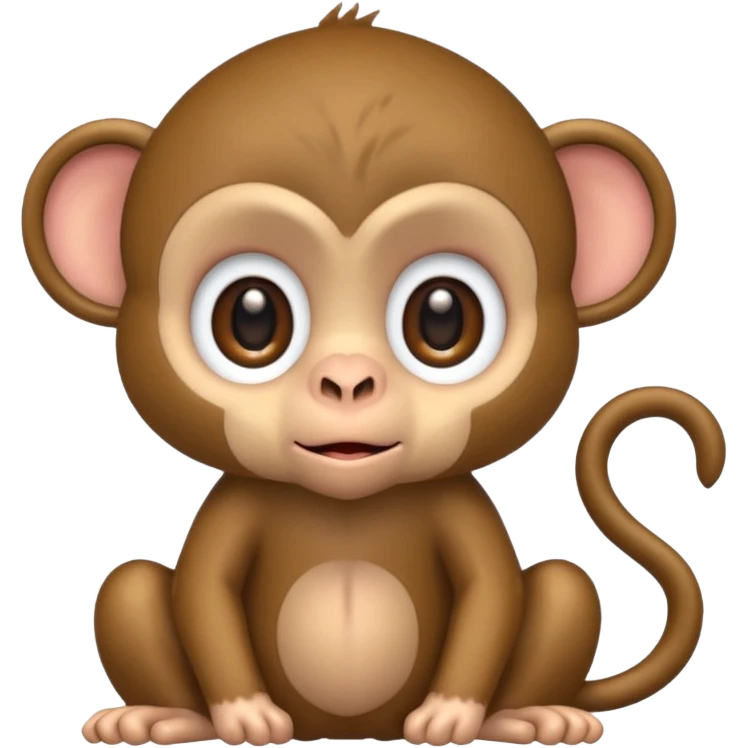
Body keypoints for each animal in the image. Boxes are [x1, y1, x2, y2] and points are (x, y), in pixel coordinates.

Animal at [21, 3, 726, 747]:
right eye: (251, 317)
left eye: (443, 316)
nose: (348, 381)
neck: (347, 507)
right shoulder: (235, 507)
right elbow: (204, 594)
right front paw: (242, 714)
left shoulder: (459, 507)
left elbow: (491, 595)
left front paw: (453, 713)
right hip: (134, 606)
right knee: (127, 587)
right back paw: (166, 716)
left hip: (555, 613)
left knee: (565, 586)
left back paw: (531, 714)